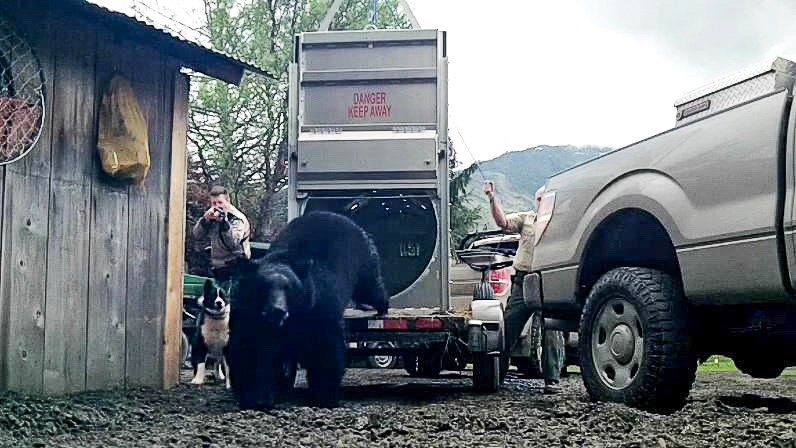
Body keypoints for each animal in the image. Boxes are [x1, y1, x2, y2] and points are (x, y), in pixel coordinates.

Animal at [227, 211, 388, 410]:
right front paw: (255, 398)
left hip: (363, 259)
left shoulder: (319, 309)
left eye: (289, 288)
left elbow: (325, 348)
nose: (277, 311)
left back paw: (381, 307)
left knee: (371, 287)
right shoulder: (249, 315)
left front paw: (324, 397)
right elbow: (250, 349)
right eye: (263, 286)